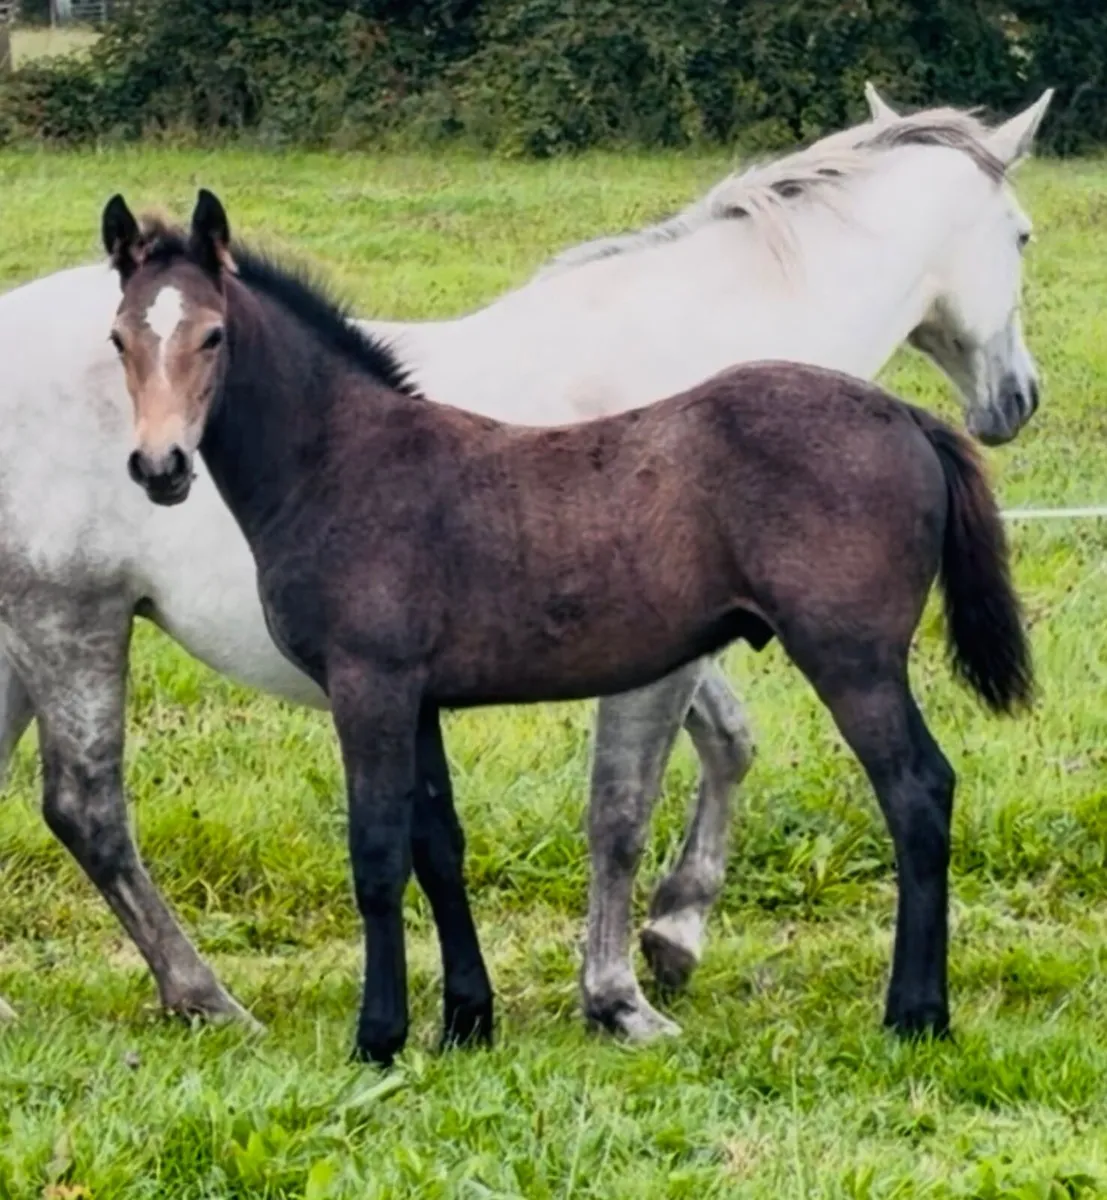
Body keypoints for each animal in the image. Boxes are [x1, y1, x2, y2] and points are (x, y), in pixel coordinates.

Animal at [0, 87, 1052, 1036]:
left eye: (213, 336)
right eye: (1023, 235)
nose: (1015, 399)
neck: (347, 454)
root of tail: (904, 420)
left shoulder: (440, 679)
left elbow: (609, 803)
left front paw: (624, 974)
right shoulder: (442, 683)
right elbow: (508, 829)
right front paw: (583, 989)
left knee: (917, 791)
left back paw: (914, 1012)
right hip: (66, 616)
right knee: (88, 807)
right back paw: (204, 997)